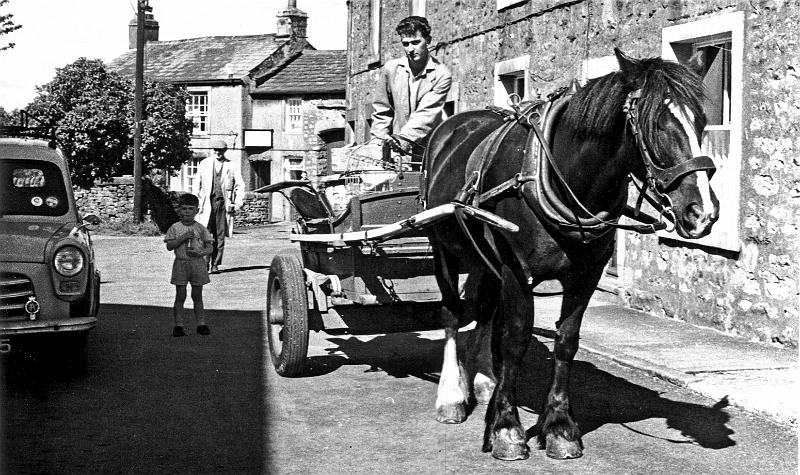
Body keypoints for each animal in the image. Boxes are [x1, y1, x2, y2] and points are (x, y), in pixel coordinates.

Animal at [424, 50, 720, 462]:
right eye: (655, 124)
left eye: (703, 121)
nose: (702, 212)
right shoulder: (516, 270)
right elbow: (516, 339)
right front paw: (506, 429)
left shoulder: (586, 274)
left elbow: (566, 341)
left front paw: (560, 427)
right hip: (443, 247)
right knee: (452, 313)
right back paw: (452, 395)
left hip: (483, 257)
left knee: (482, 311)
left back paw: (483, 381)